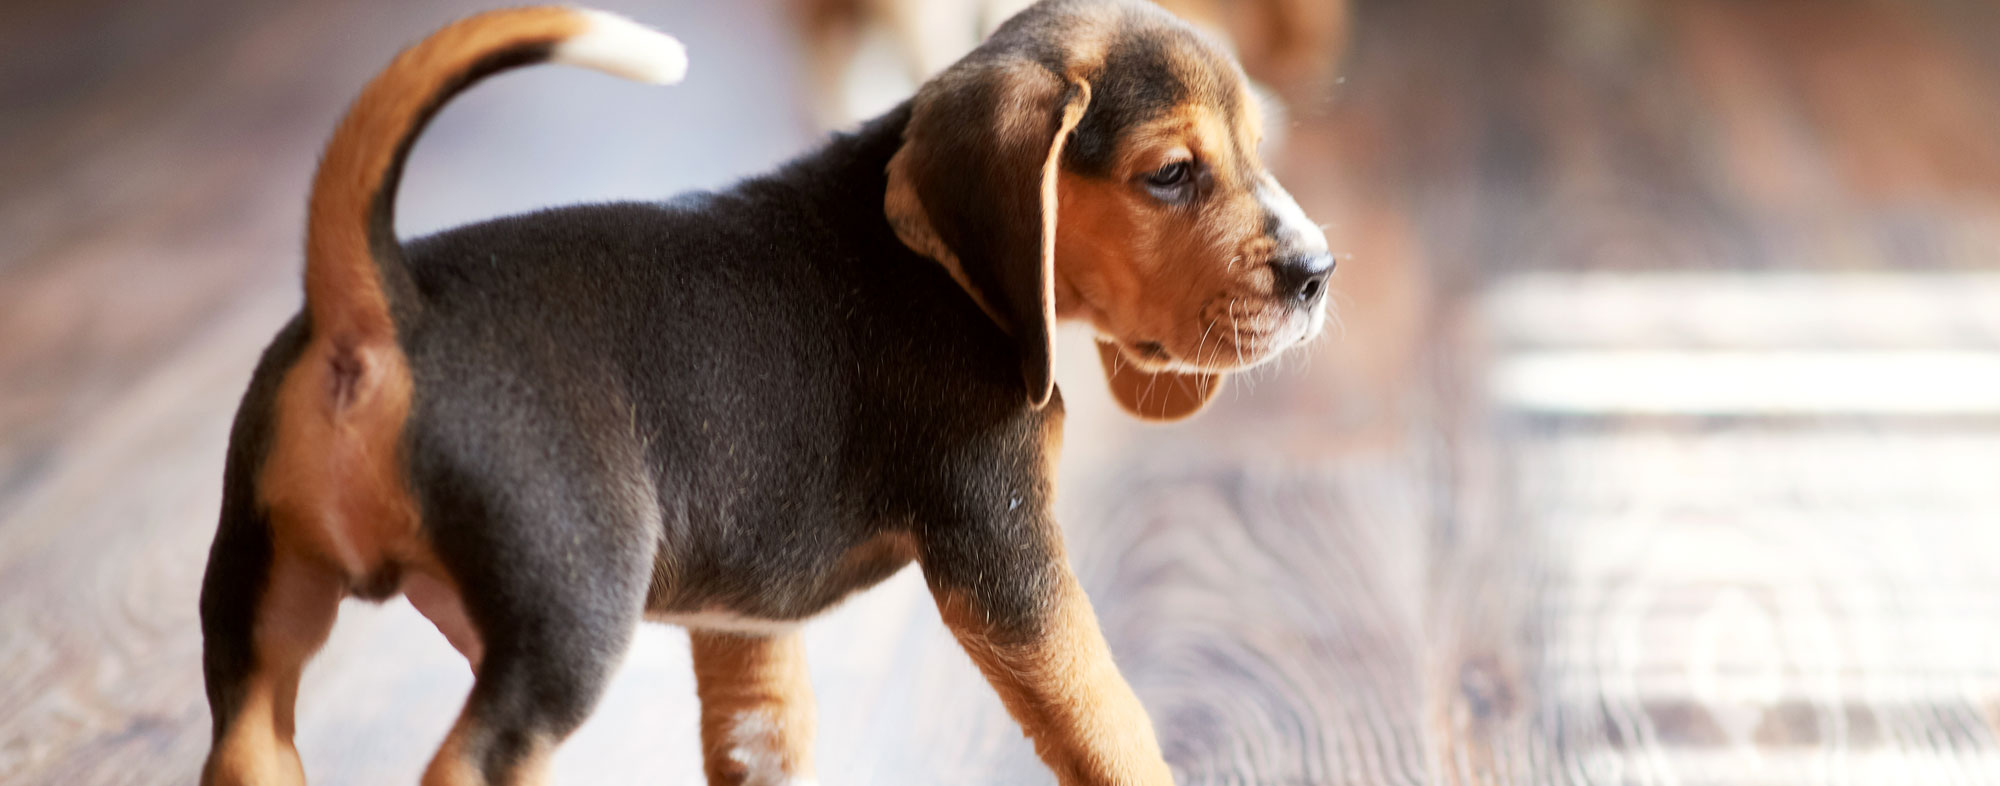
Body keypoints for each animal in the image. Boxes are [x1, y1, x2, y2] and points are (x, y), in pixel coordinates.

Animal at [199, 3, 1328, 780]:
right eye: (1170, 174)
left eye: (1258, 148)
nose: (1318, 273)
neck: (944, 271)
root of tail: (385, 306)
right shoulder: (1007, 561)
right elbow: (1109, 719)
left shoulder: (745, 625)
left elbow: (762, 737)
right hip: (567, 622)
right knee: (471, 761)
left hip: (261, 605)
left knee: (250, 743)